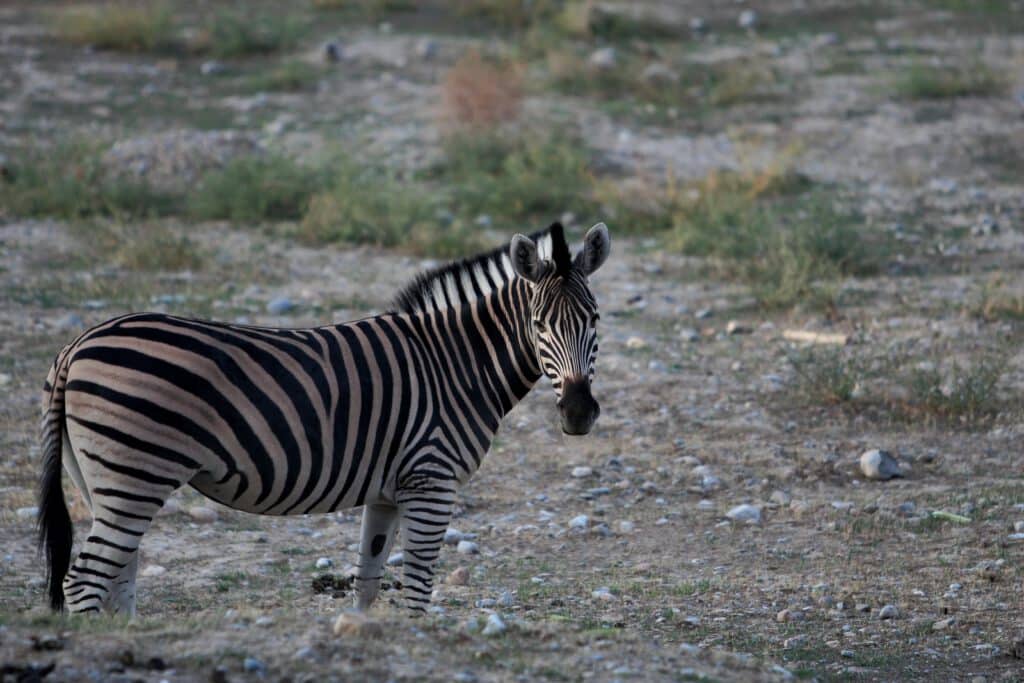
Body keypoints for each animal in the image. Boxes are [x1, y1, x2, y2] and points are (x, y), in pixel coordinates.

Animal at [37, 222, 606, 618]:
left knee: (116, 575)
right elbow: (417, 589)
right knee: (86, 579)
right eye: (538, 324)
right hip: (135, 474)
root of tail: (76, 345)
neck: (456, 364)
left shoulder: (389, 490)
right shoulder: (431, 480)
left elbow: (368, 581)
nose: (579, 412)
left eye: (596, 320)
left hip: (103, 478)